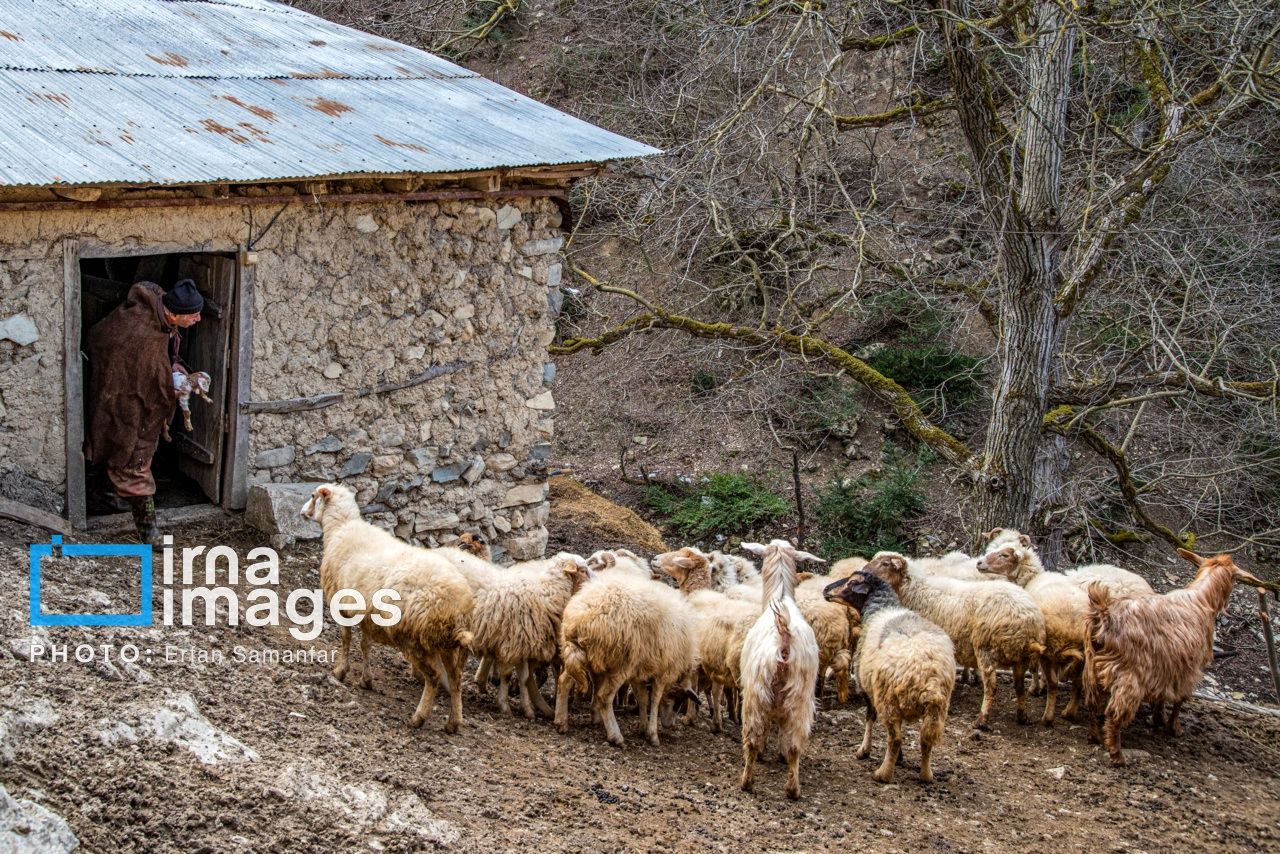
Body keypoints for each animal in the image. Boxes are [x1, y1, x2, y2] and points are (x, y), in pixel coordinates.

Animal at [300, 486, 476, 737]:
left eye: (313, 496)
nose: (302, 511)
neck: (341, 527)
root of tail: (457, 606)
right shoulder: (365, 614)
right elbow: (365, 645)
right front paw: (366, 680)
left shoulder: (340, 605)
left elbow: (345, 639)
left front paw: (340, 671)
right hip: (448, 646)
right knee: (455, 679)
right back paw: (453, 722)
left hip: (415, 640)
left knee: (433, 677)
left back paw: (418, 718)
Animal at [824, 568, 957, 783]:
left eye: (851, 583)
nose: (826, 589)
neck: (881, 608)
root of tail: (926, 673)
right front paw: (900, 759)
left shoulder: (868, 688)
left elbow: (869, 718)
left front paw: (864, 751)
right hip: (938, 708)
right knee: (926, 739)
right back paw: (926, 774)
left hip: (889, 699)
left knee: (894, 738)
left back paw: (883, 773)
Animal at [1085, 550, 1264, 763]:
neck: (1202, 598)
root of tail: (1105, 613)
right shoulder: (1190, 670)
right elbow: (1180, 700)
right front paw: (1174, 727)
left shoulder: (1168, 667)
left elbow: (1162, 697)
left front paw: (1158, 719)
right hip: (1131, 675)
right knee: (1114, 712)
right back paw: (1117, 754)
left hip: (1092, 666)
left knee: (1092, 704)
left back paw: (1095, 736)